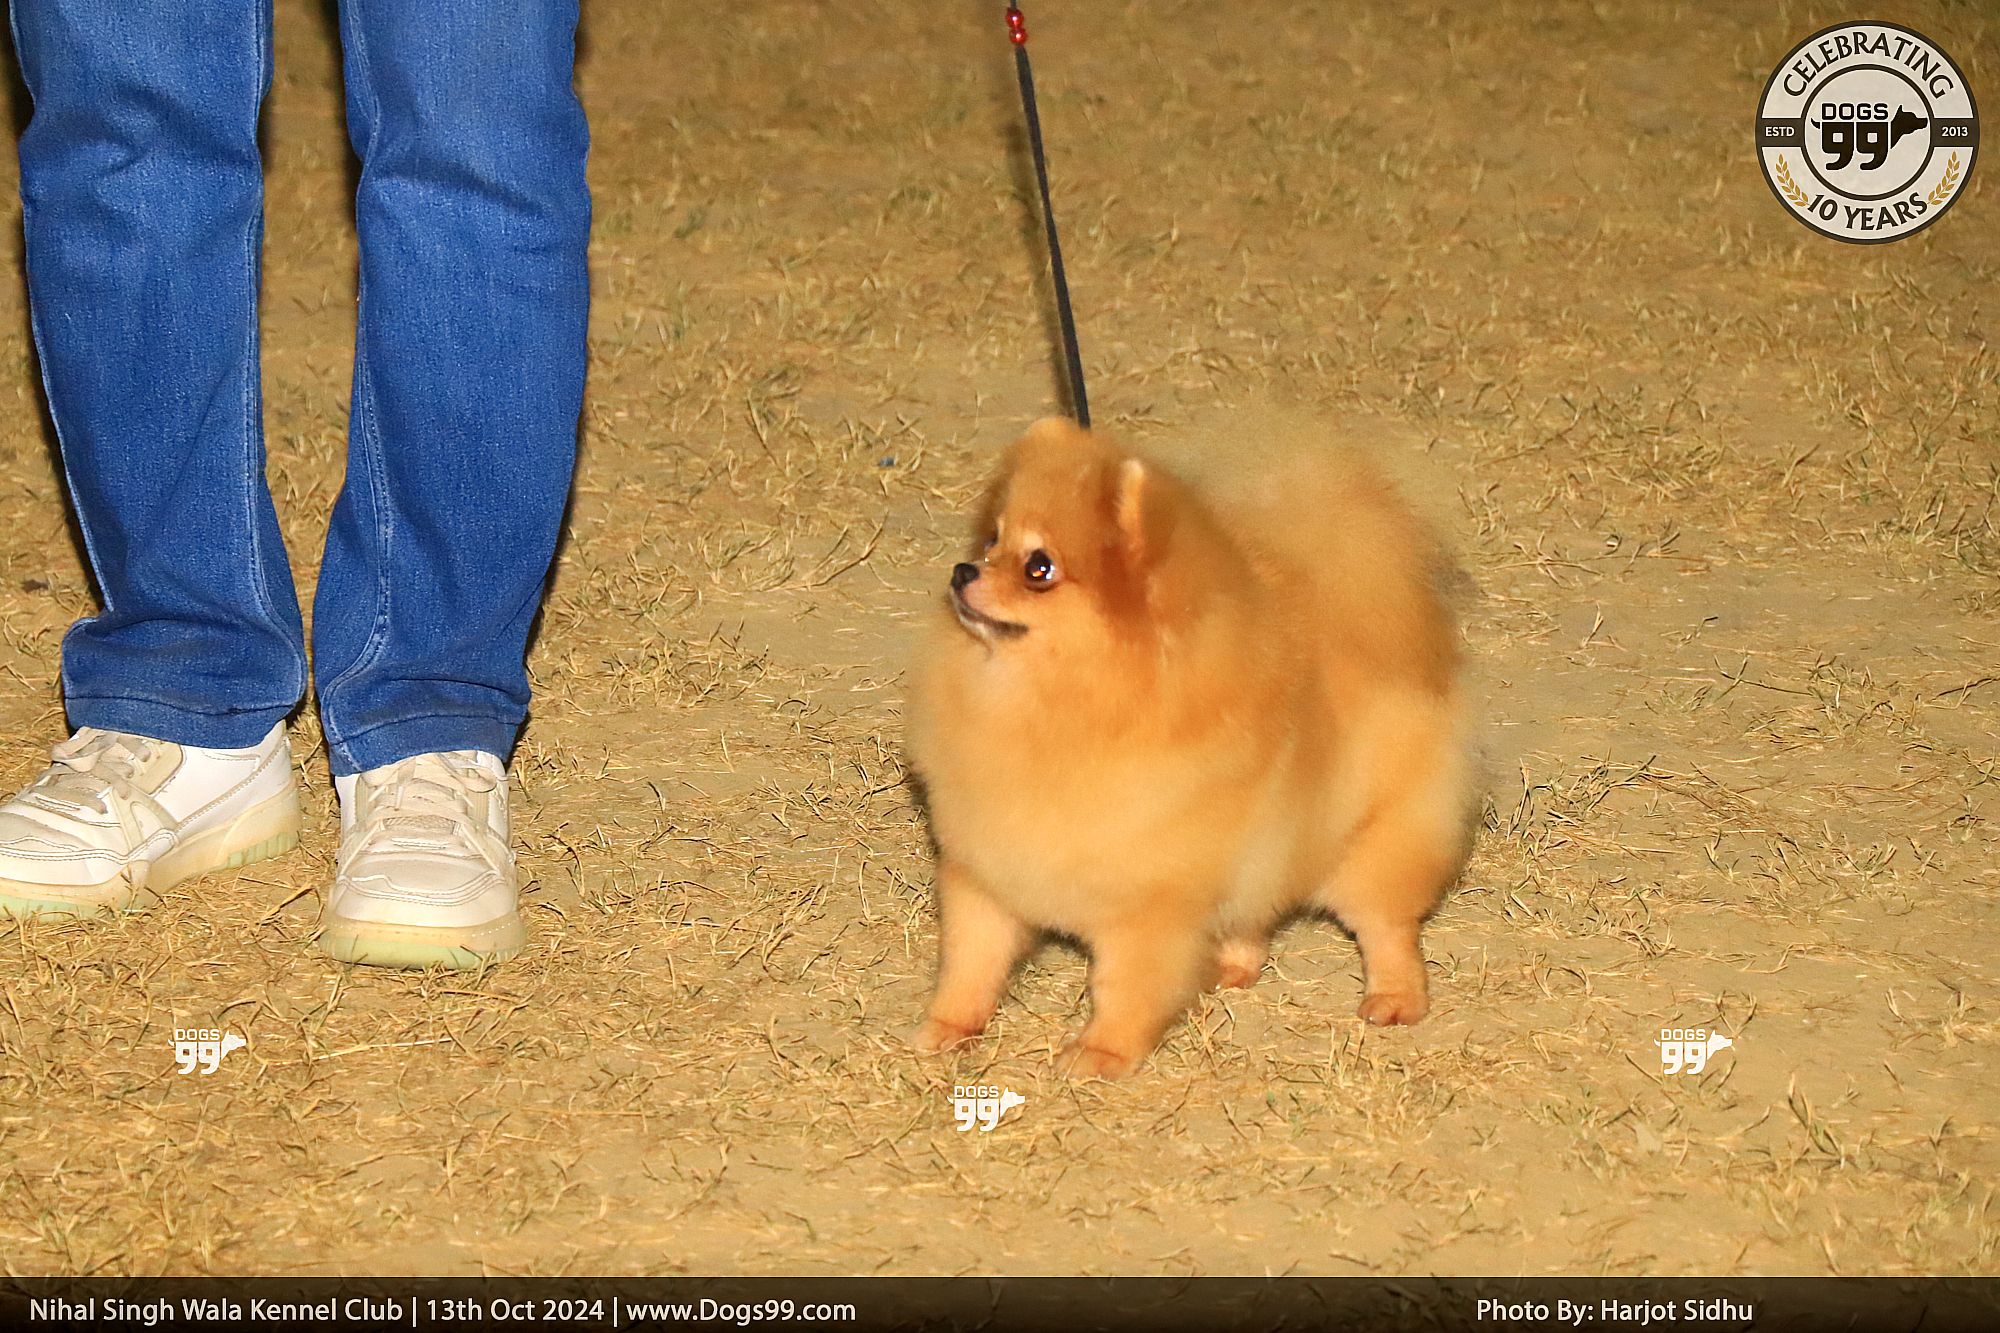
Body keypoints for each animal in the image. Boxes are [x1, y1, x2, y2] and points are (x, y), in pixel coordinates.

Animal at [904, 416, 1470, 1078]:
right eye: (992, 540)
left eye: (1038, 568)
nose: (963, 571)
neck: (1053, 702)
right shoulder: (986, 874)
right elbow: (970, 964)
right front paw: (947, 1029)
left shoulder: (1150, 907)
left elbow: (1123, 986)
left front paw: (1101, 1052)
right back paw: (1232, 964)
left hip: (1370, 843)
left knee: (1386, 926)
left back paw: (1396, 997)